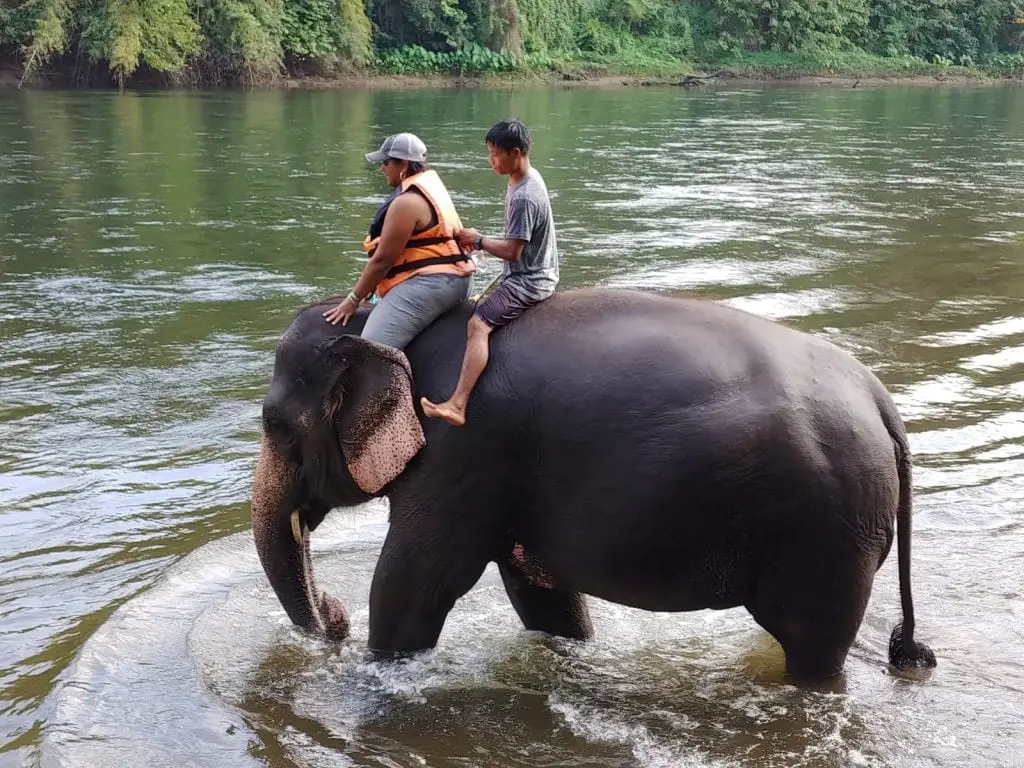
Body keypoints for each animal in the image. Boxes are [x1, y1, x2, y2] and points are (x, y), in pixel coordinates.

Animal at [249, 286, 937, 679]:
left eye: (274, 423)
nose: (332, 614)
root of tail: (882, 403)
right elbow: (540, 596)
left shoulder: (459, 456)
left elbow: (411, 585)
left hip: (829, 530)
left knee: (813, 647)